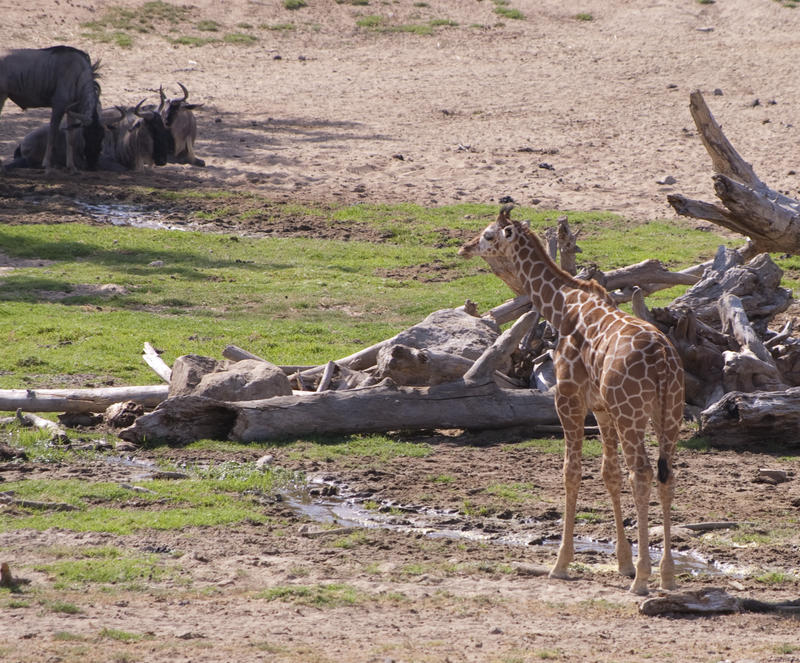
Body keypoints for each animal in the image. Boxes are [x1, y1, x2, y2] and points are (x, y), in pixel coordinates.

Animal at [460, 205, 684, 592]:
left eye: (488, 234)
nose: (465, 246)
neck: (560, 307)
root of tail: (663, 363)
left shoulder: (568, 398)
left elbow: (571, 471)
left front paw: (561, 563)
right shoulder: (602, 407)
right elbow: (608, 472)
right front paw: (623, 563)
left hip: (632, 413)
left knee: (641, 472)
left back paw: (643, 580)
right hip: (669, 414)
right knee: (665, 474)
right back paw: (667, 576)